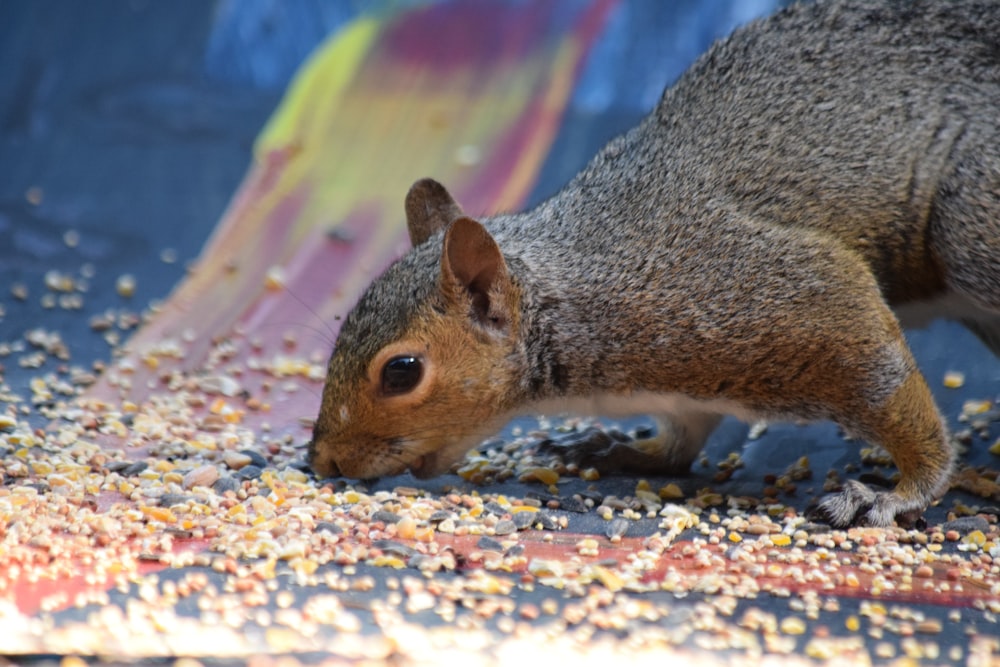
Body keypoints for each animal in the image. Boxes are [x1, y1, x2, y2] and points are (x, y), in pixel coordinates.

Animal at [308, 0, 996, 528]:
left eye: (401, 372)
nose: (322, 463)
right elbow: (683, 436)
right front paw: (622, 449)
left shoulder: (781, 297)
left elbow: (884, 381)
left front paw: (899, 492)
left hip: (971, 234)